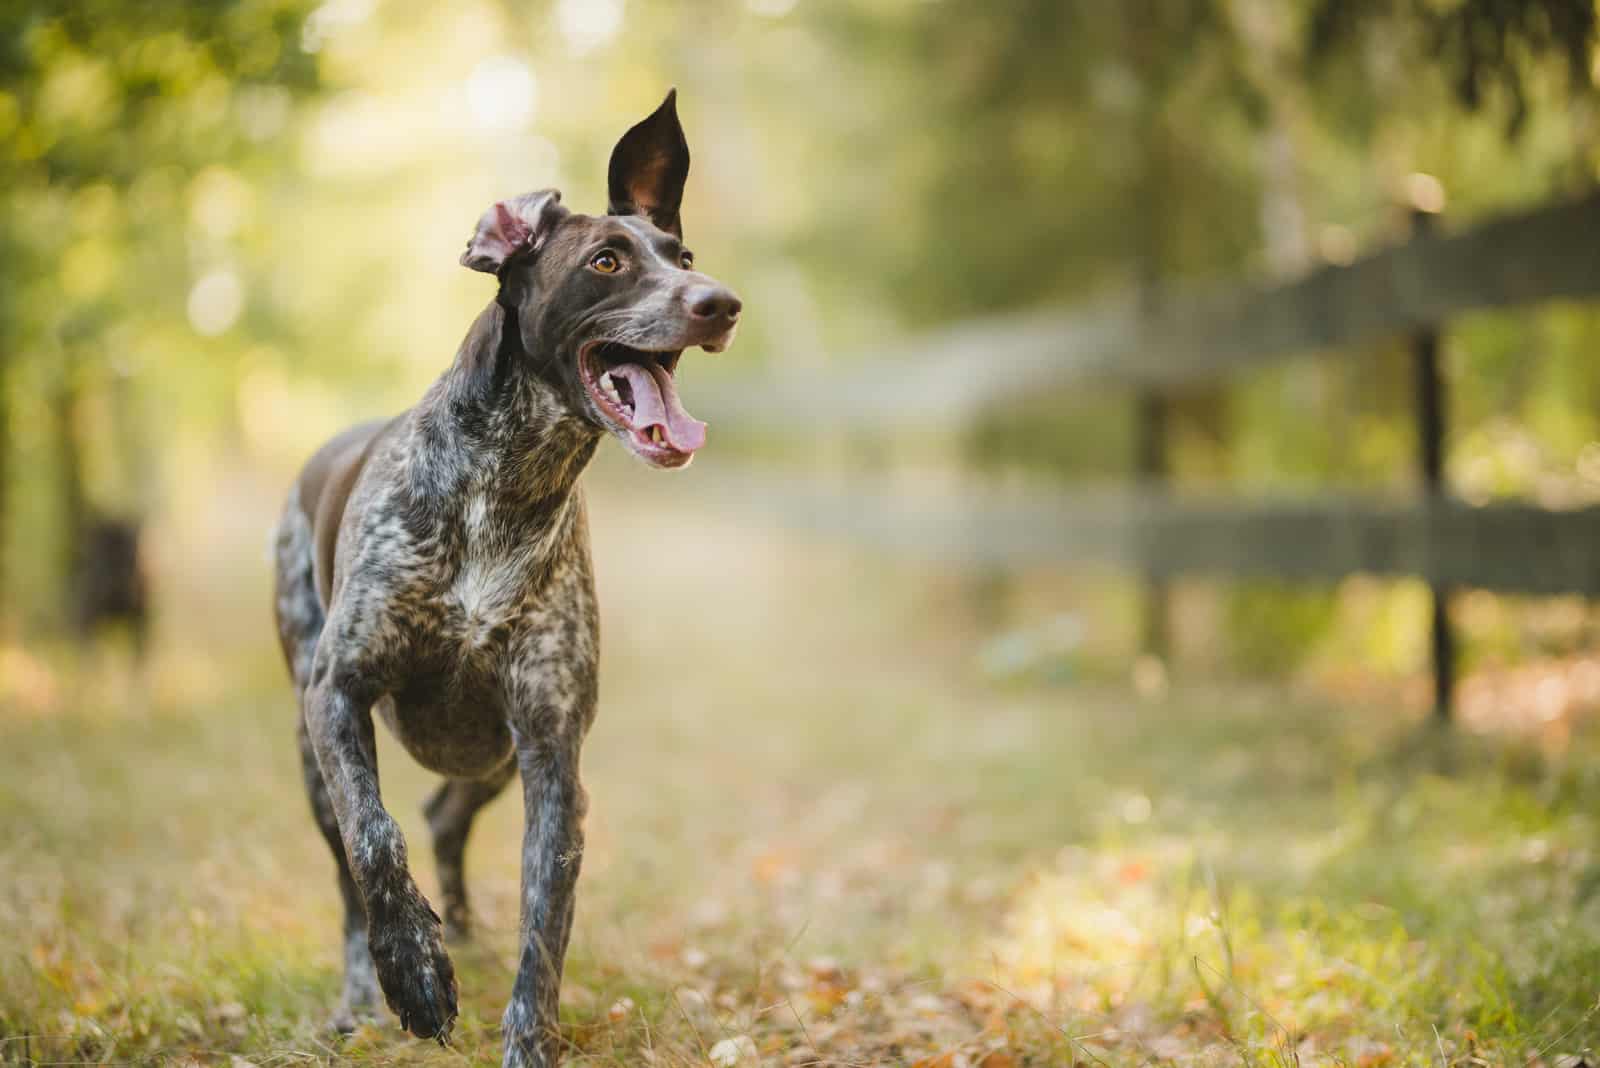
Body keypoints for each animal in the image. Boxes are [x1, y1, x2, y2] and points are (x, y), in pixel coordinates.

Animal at [273, 93, 742, 1068]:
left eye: (682, 258)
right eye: (606, 262)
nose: (720, 302)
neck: (508, 484)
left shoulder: (552, 748)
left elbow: (545, 921)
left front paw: (527, 1033)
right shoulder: (339, 694)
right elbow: (375, 840)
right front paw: (414, 975)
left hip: (488, 754)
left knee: (446, 819)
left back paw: (460, 931)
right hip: (310, 739)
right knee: (353, 870)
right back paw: (362, 994)